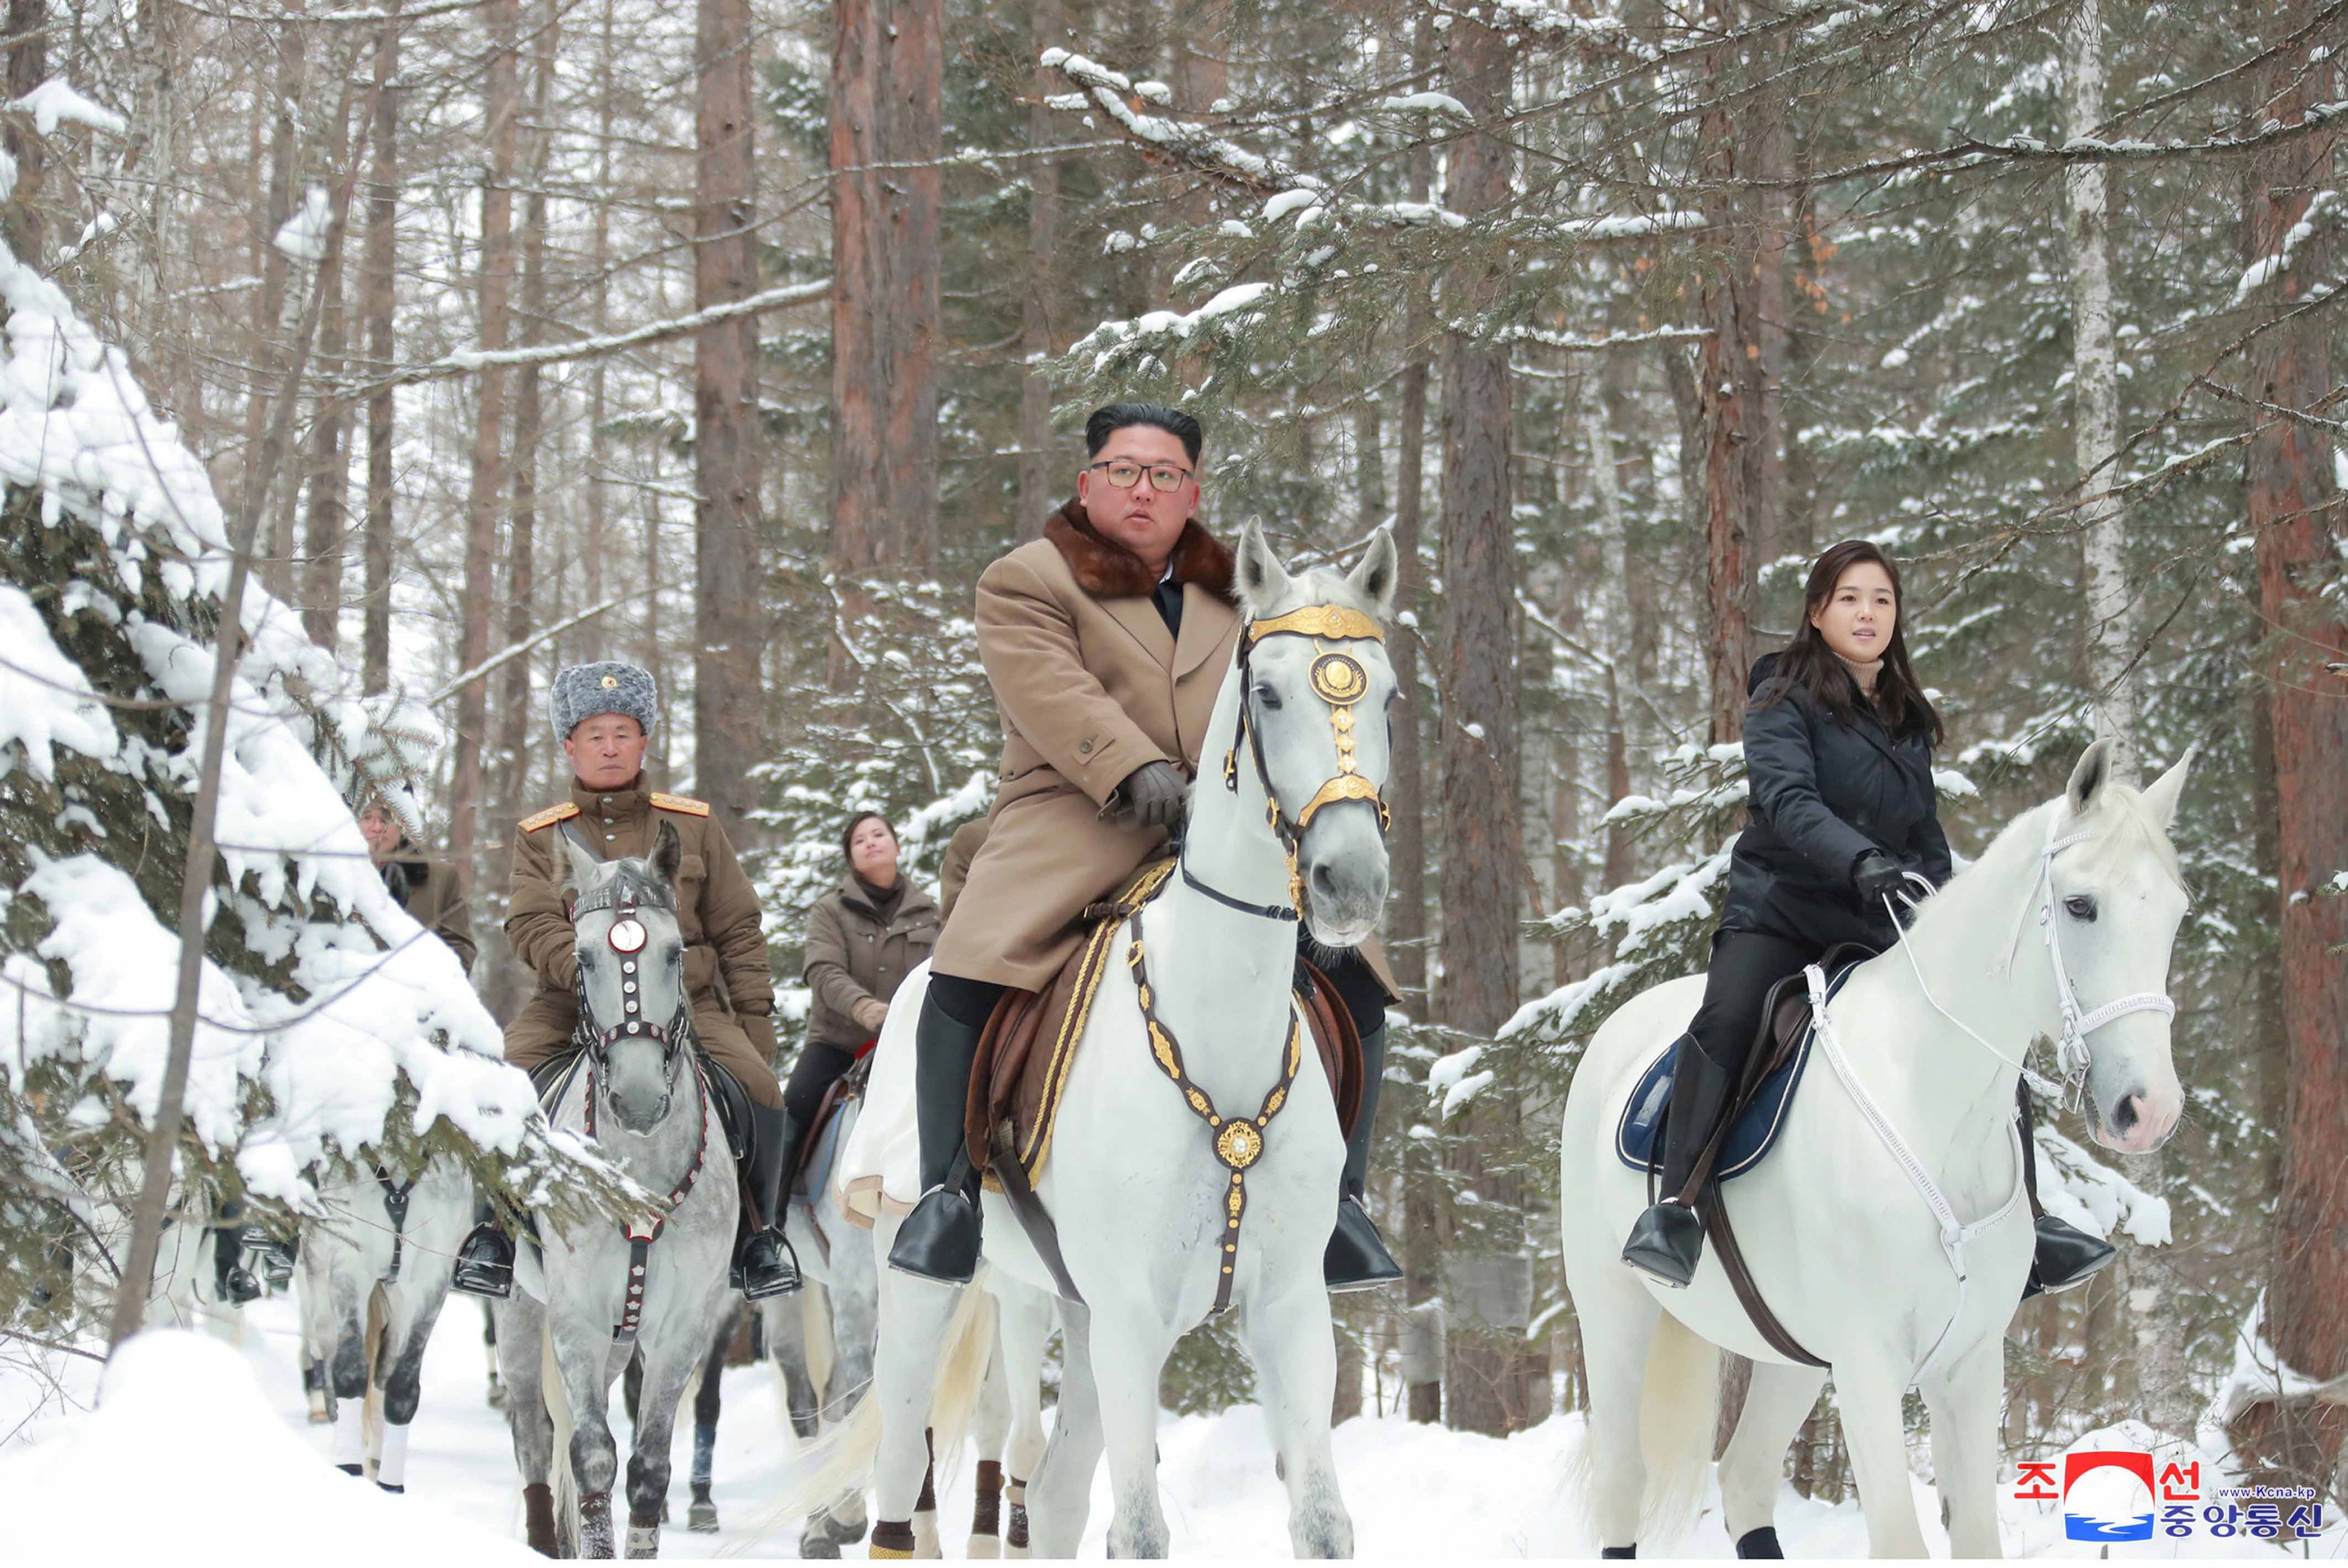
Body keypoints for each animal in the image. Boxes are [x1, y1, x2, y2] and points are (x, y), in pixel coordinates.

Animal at [1568, 746, 2188, 1559]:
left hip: (1793, 1357)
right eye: (2081, 905)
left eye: (2175, 912)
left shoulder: (1968, 1365)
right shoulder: (1868, 1366)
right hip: (1615, 1313)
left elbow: (1976, 1537)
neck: (1928, 1108)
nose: (2150, 1111)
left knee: (1745, 1478)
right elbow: (1900, 1540)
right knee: (1623, 1484)